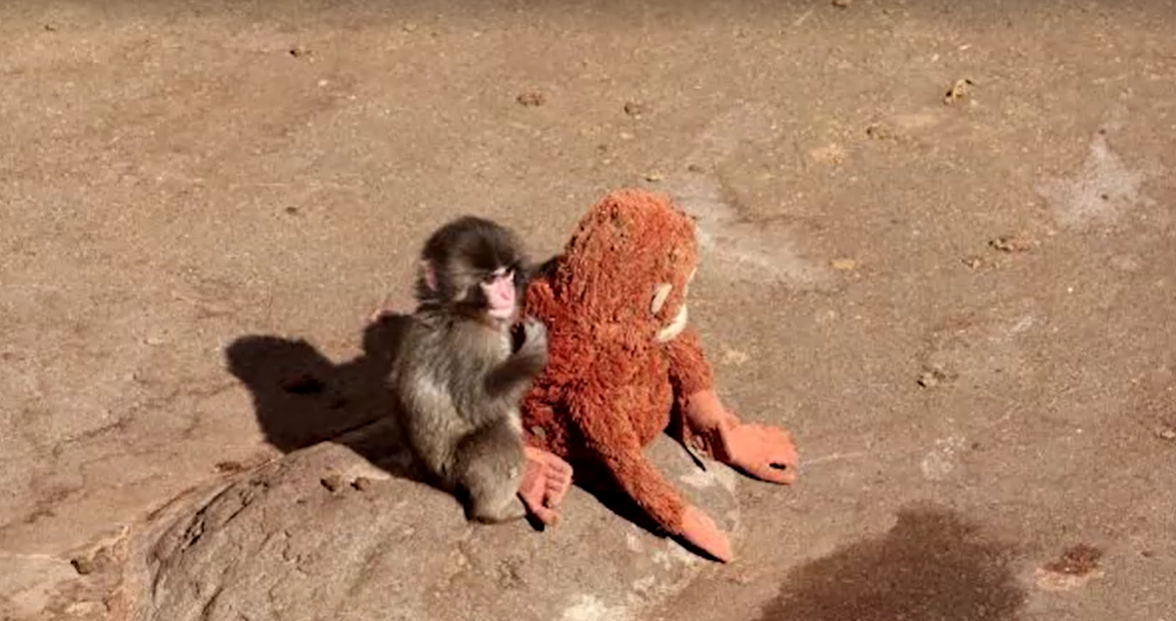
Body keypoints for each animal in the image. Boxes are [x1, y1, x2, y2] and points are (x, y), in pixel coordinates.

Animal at [388, 215, 560, 524]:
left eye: (507, 275)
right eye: (489, 280)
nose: (506, 292)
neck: (461, 311)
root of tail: (431, 479)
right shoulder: (469, 343)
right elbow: (480, 402)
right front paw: (534, 350)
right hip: (457, 471)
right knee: (497, 435)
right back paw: (492, 511)